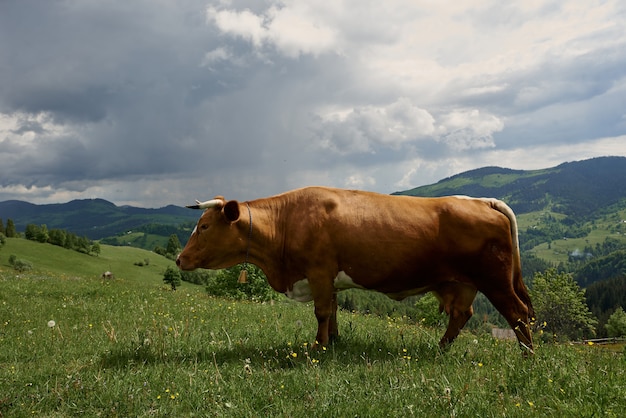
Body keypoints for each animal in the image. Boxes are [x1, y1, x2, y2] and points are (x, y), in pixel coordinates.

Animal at [174, 188, 532, 354]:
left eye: (204, 227)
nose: (179, 259)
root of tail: (480, 200)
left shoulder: (318, 271)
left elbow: (321, 311)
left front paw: (318, 347)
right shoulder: (328, 279)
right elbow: (332, 310)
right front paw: (333, 341)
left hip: (495, 279)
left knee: (518, 313)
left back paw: (527, 356)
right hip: (462, 283)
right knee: (461, 314)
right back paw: (440, 348)